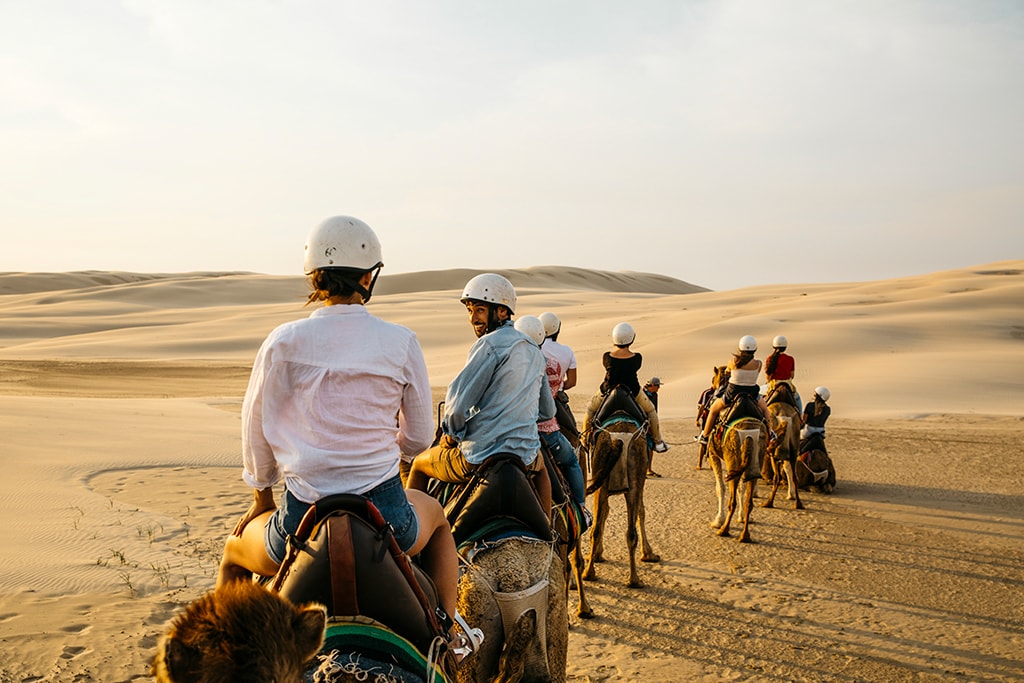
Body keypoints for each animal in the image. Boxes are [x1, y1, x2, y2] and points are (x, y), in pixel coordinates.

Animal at [581, 419, 659, 589]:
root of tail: (617, 440)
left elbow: (604, 513)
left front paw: (596, 555)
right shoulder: (640, 482)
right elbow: (641, 512)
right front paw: (648, 553)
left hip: (602, 479)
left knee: (597, 529)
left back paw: (589, 573)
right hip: (634, 481)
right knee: (630, 529)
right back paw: (634, 580)